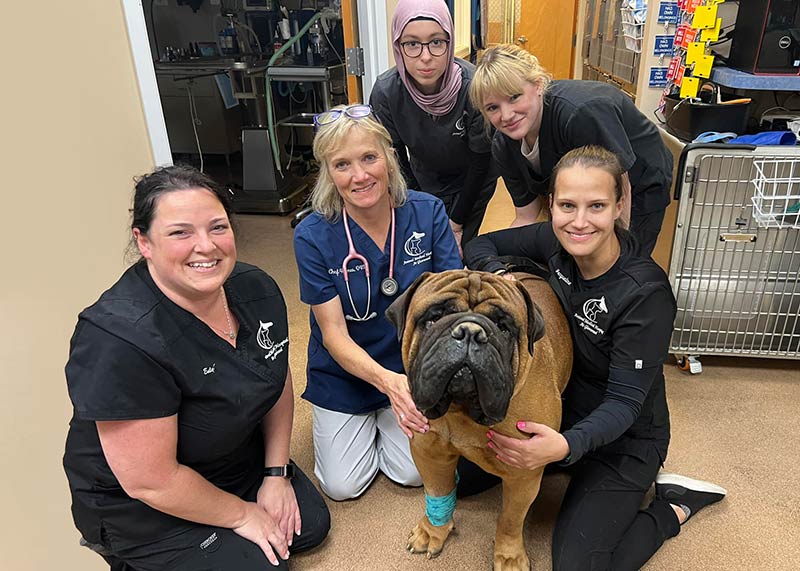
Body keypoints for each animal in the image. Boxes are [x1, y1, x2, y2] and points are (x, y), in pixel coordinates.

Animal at [386, 270, 568, 571]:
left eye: (504, 327)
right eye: (434, 317)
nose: (470, 332)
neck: (462, 412)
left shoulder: (524, 474)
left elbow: (511, 519)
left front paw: (509, 556)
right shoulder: (429, 452)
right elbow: (437, 490)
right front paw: (433, 531)